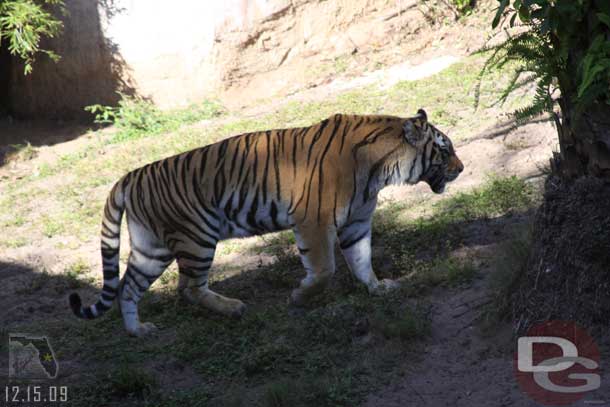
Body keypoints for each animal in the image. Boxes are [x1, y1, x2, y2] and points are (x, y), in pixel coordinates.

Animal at [70, 109, 460, 338]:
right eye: (444, 150)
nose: (462, 168)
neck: (381, 169)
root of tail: (129, 176)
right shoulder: (313, 220)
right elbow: (325, 270)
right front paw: (300, 297)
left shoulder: (357, 223)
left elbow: (362, 261)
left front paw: (378, 289)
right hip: (197, 236)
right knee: (188, 288)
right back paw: (233, 308)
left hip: (153, 249)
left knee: (127, 287)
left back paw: (139, 331)